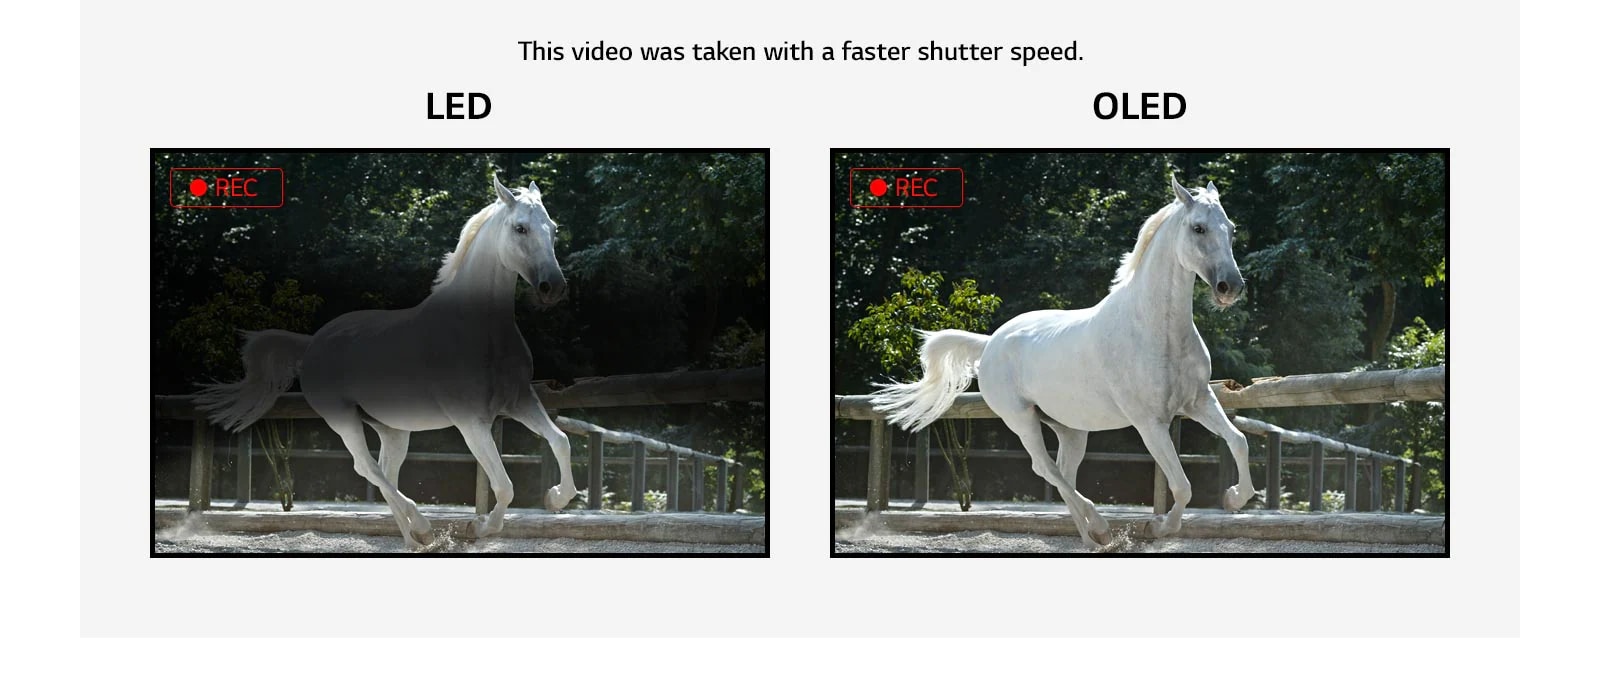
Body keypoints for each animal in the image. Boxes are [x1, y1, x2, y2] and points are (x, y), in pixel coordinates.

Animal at [195, 174, 575, 549]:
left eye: (554, 228)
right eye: (520, 228)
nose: (553, 287)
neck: (477, 332)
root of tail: (312, 344)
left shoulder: (520, 401)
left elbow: (560, 441)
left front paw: (555, 498)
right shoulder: (471, 421)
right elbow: (504, 486)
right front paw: (477, 528)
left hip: (392, 429)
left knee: (384, 471)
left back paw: (414, 539)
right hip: (343, 419)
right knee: (367, 468)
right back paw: (423, 528)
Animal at [870, 175, 1253, 548]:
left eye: (1232, 228)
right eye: (1198, 228)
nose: (1230, 287)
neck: (1154, 329)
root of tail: (990, 343)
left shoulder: (1199, 401)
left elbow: (1238, 441)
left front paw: (1234, 497)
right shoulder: (1150, 423)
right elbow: (1182, 486)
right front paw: (1157, 528)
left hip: (1070, 429)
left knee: (1061, 472)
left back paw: (1092, 539)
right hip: (1021, 419)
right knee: (1046, 468)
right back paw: (1100, 527)